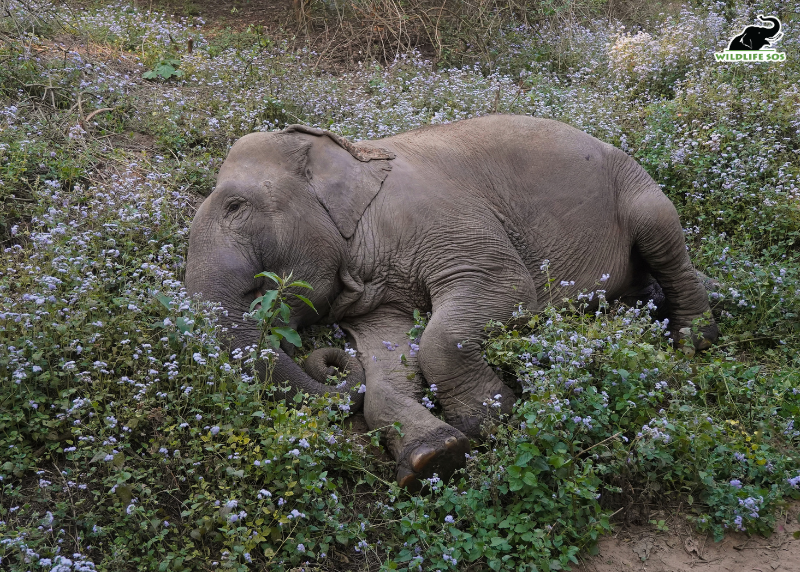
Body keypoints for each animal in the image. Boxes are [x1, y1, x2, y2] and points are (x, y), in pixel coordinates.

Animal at [185, 114, 718, 490]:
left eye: (236, 207)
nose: (327, 359)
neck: (349, 155)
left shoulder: (441, 217)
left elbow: (503, 289)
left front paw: (489, 421)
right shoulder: (375, 293)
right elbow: (386, 353)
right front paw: (432, 457)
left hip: (634, 183)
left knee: (661, 236)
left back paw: (695, 339)